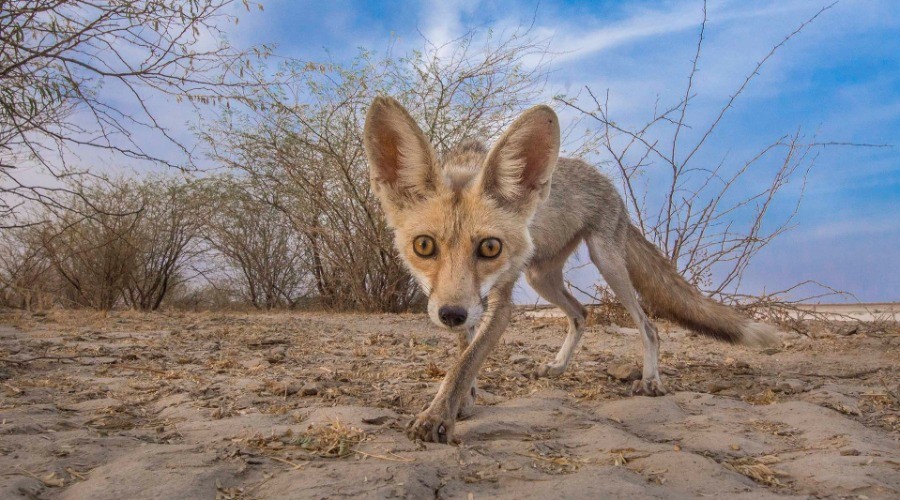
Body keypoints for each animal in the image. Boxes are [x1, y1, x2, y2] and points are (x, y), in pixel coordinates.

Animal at [363, 96, 779, 444]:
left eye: (490, 248)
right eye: (424, 246)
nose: (451, 314)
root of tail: (611, 187)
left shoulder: (499, 302)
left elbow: (466, 361)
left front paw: (438, 417)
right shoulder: (471, 302)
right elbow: (463, 355)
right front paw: (462, 402)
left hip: (607, 262)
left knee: (648, 325)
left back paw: (651, 380)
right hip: (540, 277)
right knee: (581, 314)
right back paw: (560, 366)